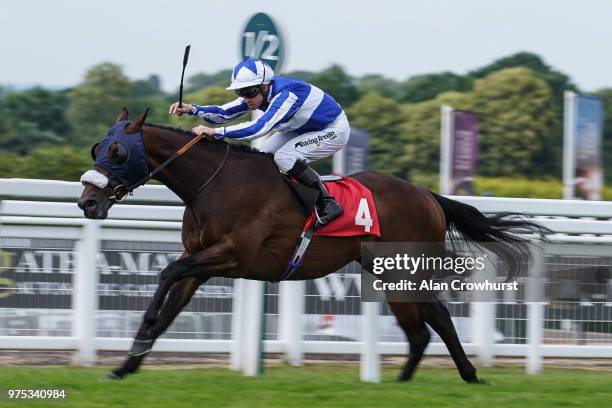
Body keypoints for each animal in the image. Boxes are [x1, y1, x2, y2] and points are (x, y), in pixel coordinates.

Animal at [77, 109, 544, 382]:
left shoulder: (230, 255)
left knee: (440, 319)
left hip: (404, 268)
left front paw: (141, 332)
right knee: (420, 328)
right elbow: (172, 304)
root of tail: (429, 196)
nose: (87, 201)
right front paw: (125, 365)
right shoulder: (201, 260)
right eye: (98, 147)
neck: (216, 183)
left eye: (118, 151)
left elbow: (166, 275)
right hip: (387, 273)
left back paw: (469, 376)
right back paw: (404, 382)